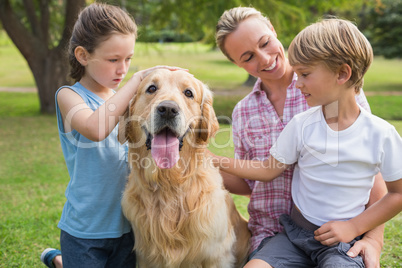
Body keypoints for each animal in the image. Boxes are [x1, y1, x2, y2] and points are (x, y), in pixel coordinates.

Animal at [118, 69, 250, 268]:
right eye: (151, 88)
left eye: (188, 93)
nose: (168, 110)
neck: (169, 183)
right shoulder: (146, 256)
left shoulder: (215, 255)